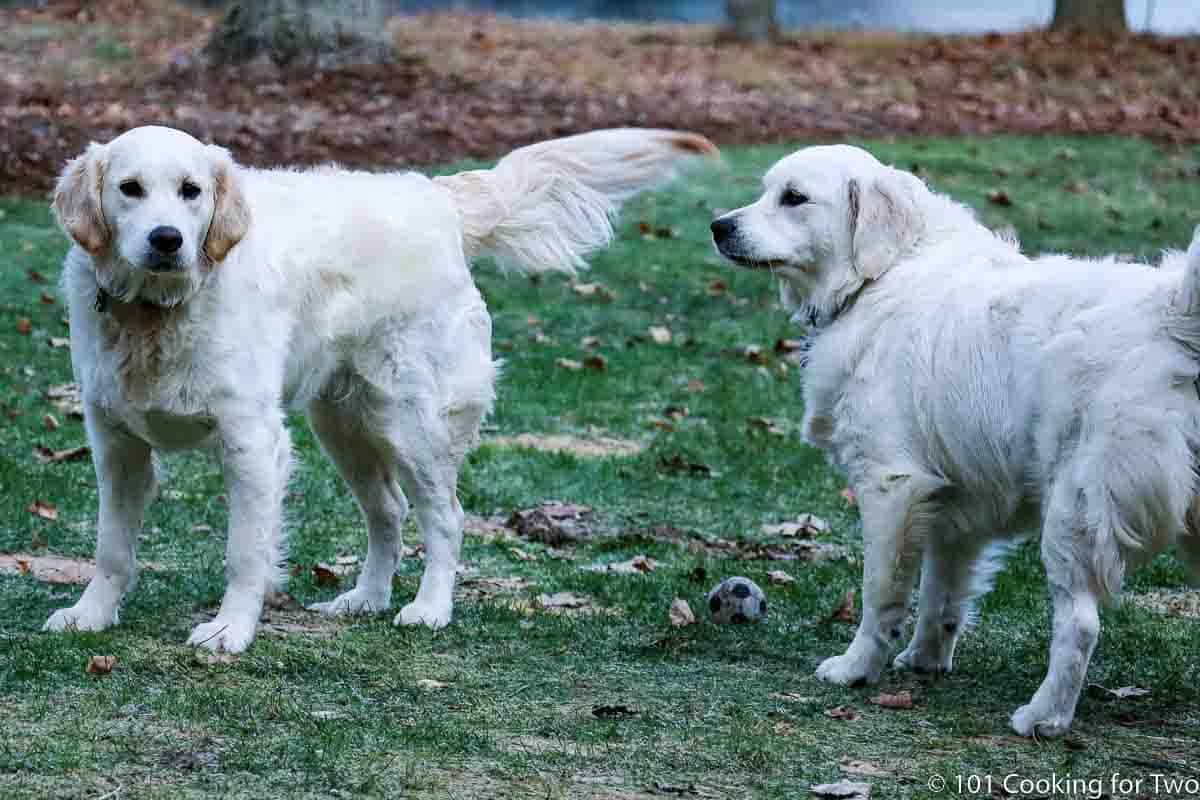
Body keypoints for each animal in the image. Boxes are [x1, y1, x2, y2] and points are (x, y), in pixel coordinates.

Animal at [49, 123, 710, 652]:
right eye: (130, 188)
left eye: (191, 190)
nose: (167, 239)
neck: (156, 313)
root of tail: (436, 196)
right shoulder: (115, 444)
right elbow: (111, 546)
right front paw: (92, 613)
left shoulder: (251, 441)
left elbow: (245, 551)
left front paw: (229, 629)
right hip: (342, 423)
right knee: (389, 511)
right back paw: (366, 598)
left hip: (411, 422)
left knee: (446, 516)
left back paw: (429, 608)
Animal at [710, 145, 1200, 738]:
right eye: (766, 191)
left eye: (794, 197)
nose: (718, 226)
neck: (880, 275)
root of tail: (1175, 314)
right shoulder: (955, 507)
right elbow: (939, 598)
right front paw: (923, 661)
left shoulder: (890, 487)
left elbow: (882, 595)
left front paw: (856, 668)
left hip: (1074, 514)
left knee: (1080, 625)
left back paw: (1043, 717)